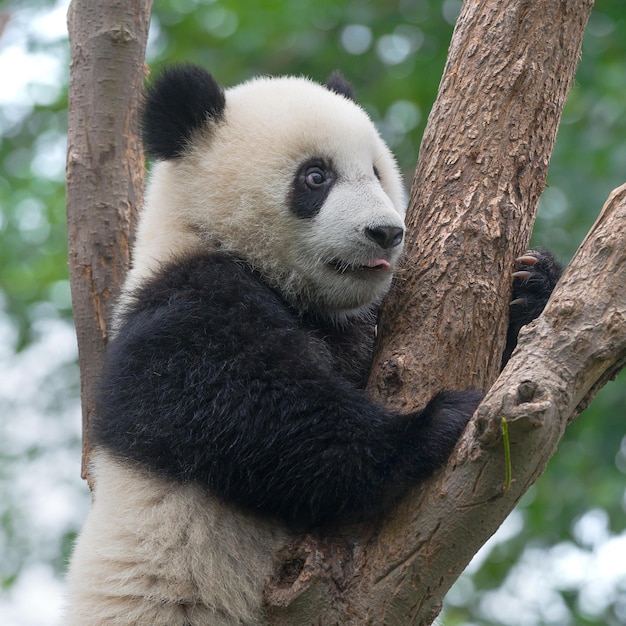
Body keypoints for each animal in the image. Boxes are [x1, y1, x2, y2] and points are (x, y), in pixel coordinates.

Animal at [64, 64, 560, 624]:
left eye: (377, 172)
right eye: (316, 177)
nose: (385, 232)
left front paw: (531, 288)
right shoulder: (182, 308)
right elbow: (259, 418)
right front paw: (438, 421)